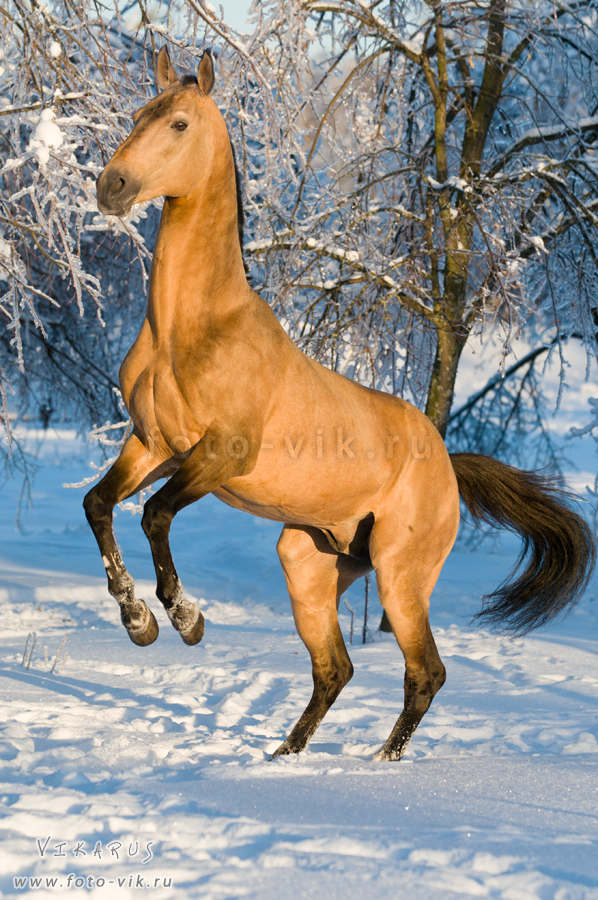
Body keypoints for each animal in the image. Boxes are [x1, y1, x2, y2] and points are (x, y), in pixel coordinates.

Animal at [85, 47, 598, 760]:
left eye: (179, 123)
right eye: (138, 115)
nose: (111, 187)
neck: (190, 330)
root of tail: (447, 461)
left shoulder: (220, 454)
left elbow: (155, 514)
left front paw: (185, 620)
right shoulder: (151, 445)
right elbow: (100, 505)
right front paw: (137, 621)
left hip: (400, 575)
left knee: (424, 671)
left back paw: (380, 763)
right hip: (309, 564)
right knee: (336, 668)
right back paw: (283, 758)